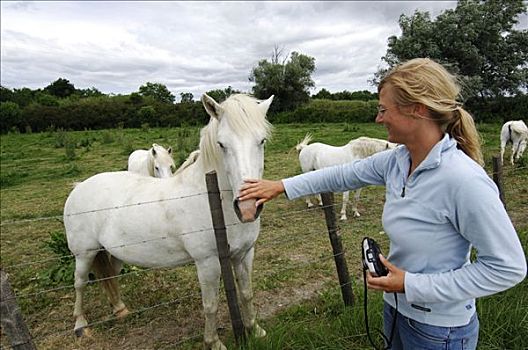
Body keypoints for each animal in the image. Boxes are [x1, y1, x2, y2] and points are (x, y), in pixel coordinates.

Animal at [64, 93, 274, 350]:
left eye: (262, 141)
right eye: (222, 144)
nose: (247, 208)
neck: (211, 198)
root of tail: (79, 187)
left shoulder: (244, 254)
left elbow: (246, 293)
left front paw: (255, 330)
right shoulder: (207, 263)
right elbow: (211, 305)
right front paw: (213, 342)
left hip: (113, 253)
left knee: (110, 275)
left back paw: (120, 309)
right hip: (84, 254)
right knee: (80, 283)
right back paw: (81, 325)